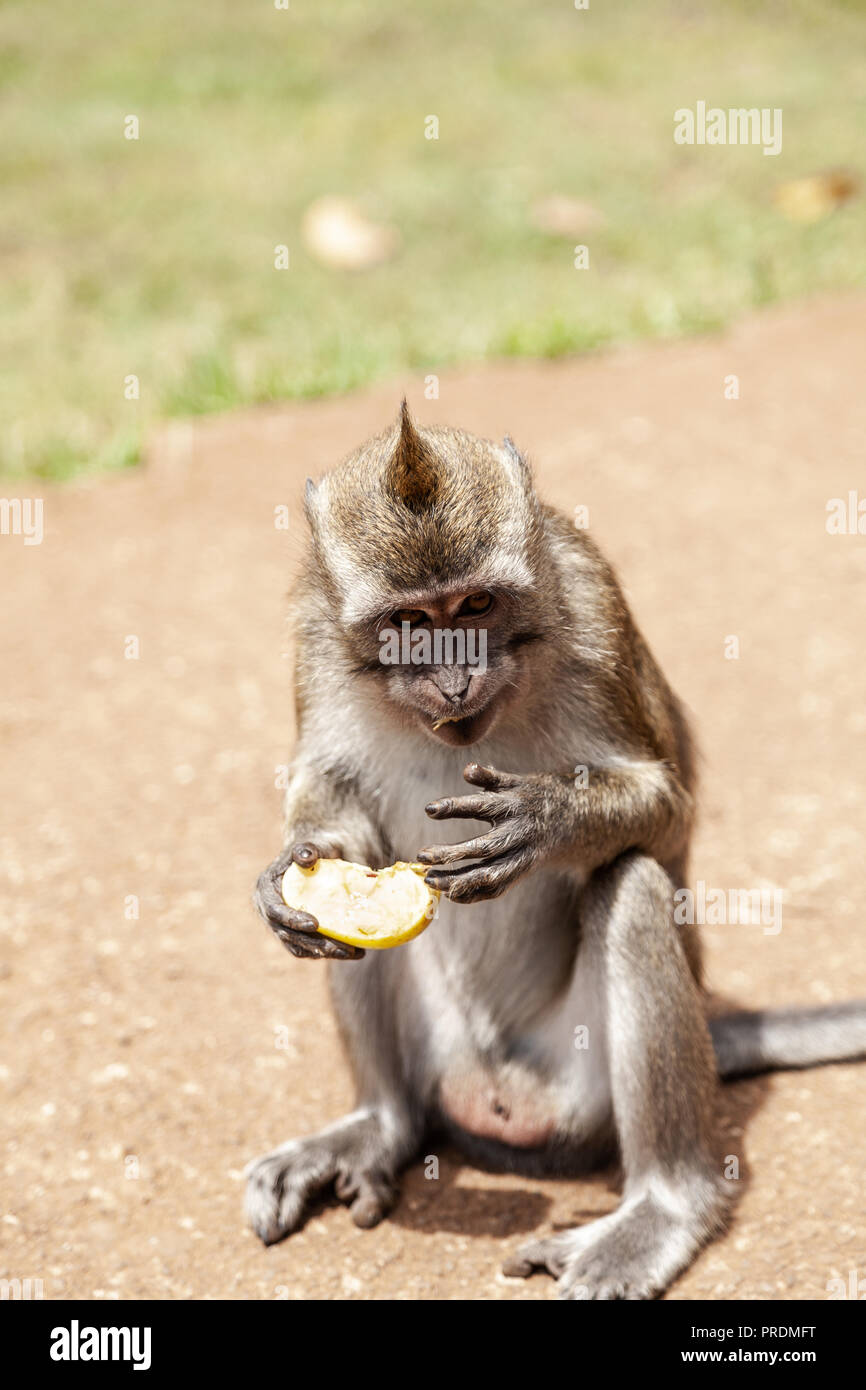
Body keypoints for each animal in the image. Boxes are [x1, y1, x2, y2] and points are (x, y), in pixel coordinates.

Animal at [244, 405, 866, 1301]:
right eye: (411, 624)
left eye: (475, 604)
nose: (455, 681)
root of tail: (501, 1096)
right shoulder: (311, 636)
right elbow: (334, 813)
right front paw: (291, 871)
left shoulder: (590, 600)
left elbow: (670, 814)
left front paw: (546, 820)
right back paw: (378, 1124)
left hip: (582, 1085)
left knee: (632, 886)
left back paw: (662, 1210)